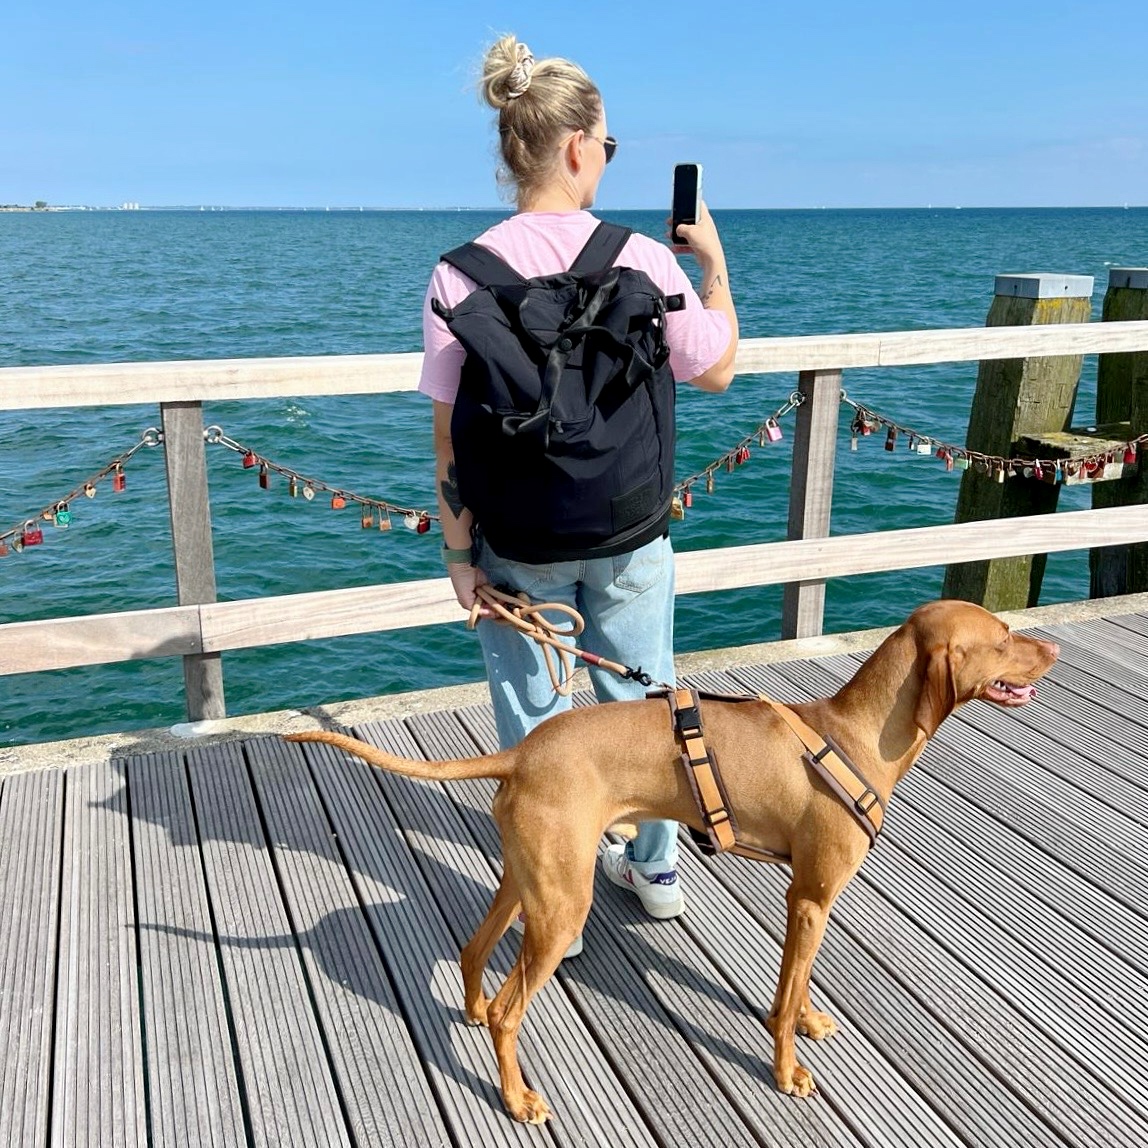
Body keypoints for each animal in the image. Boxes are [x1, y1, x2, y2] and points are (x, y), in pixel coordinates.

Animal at [284, 601, 1056, 1120]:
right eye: (1002, 637)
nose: (1048, 649)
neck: (856, 736)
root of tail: (522, 752)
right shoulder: (809, 899)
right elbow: (782, 1002)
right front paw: (788, 1071)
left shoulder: (809, 904)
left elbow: (795, 988)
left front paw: (807, 1020)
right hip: (561, 908)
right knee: (510, 1012)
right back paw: (517, 1097)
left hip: (530, 884)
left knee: (475, 953)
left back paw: (472, 1011)